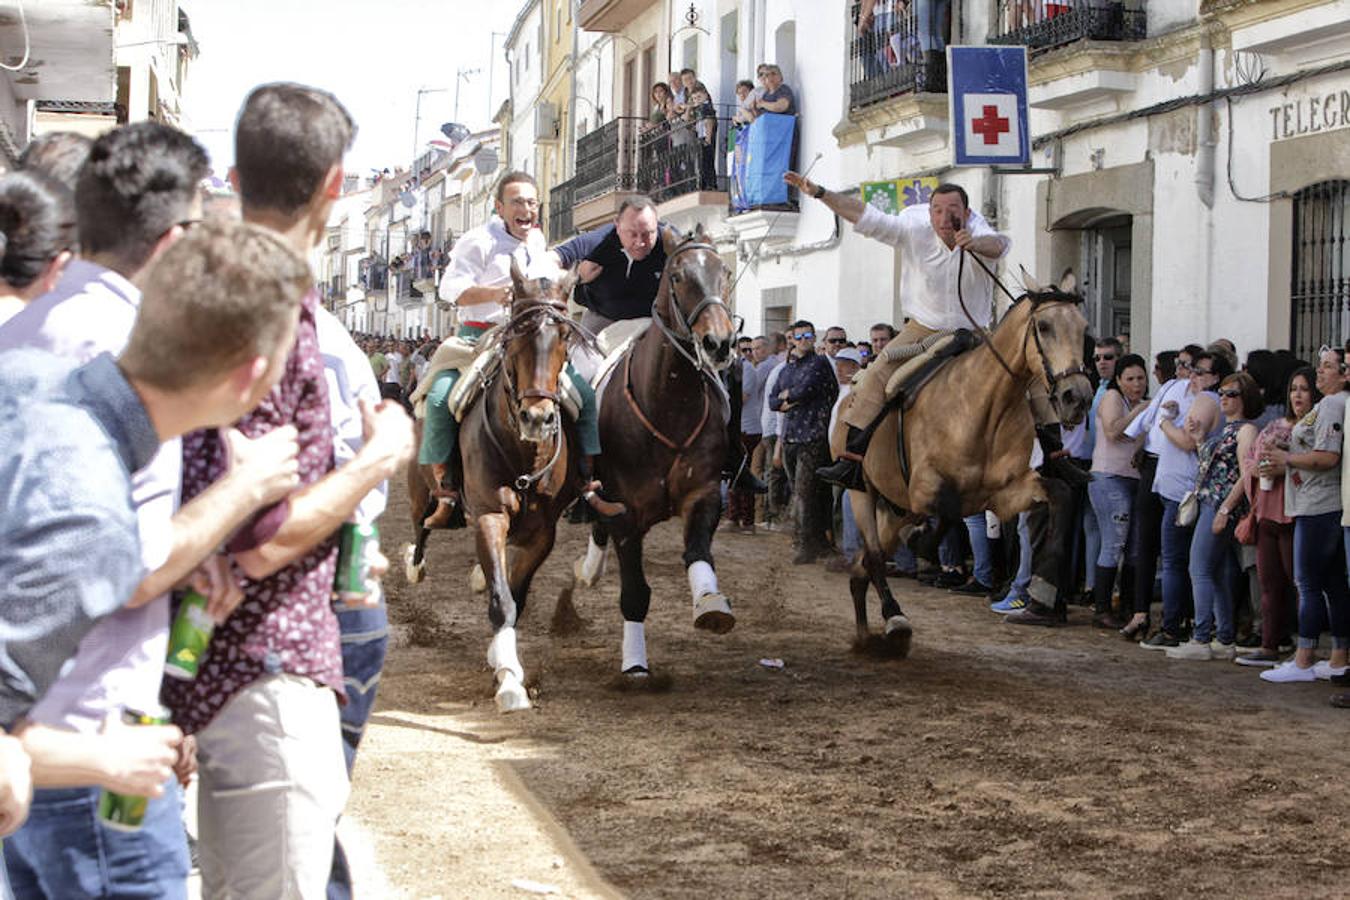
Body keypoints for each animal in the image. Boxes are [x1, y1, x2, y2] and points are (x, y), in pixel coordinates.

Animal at [448, 260, 585, 712]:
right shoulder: (489, 516)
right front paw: (509, 682)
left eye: (564, 337)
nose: (537, 419)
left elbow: (516, 595)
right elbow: (501, 599)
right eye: (517, 336)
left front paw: (502, 661)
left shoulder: (543, 532)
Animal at [569, 223, 739, 674]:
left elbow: (697, 552)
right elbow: (635, 594)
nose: (719, 343)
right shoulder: (627, 511)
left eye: (724, 272)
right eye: (677, 276)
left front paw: (711, 605)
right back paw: (589, 569)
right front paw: (635, 663)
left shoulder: (703, 493)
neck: (668, 404)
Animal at [837, 272, 1090, 655]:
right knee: (875, 557)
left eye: (1084, 329)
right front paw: (923, 543)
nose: (1077, 397)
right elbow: (947, 509)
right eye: (1044, 326)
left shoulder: (1006, 494)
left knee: (863, 564)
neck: (984, 407)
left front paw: (1045, 587)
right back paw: (895, 620)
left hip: (895, 507)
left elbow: (1060, 494)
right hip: (863, 493)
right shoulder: (924, 487)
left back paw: (868, 632)